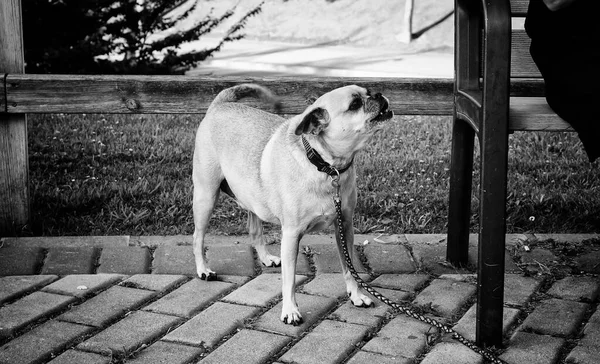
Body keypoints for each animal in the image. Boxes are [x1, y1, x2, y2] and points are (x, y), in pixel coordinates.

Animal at [190, 84, 392, 326]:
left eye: (368, 91)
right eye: (354, 104)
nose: (378, 94)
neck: (326, 166)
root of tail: (220, 104)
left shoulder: (345, 228)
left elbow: (349, 267)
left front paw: (356, 295)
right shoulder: (291, 236)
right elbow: (289, 279)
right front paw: (290, 310)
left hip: (252, 200)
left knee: (255, 231)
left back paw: (266, 258)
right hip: (206, 197)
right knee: (198, 237)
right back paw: (203, 269)